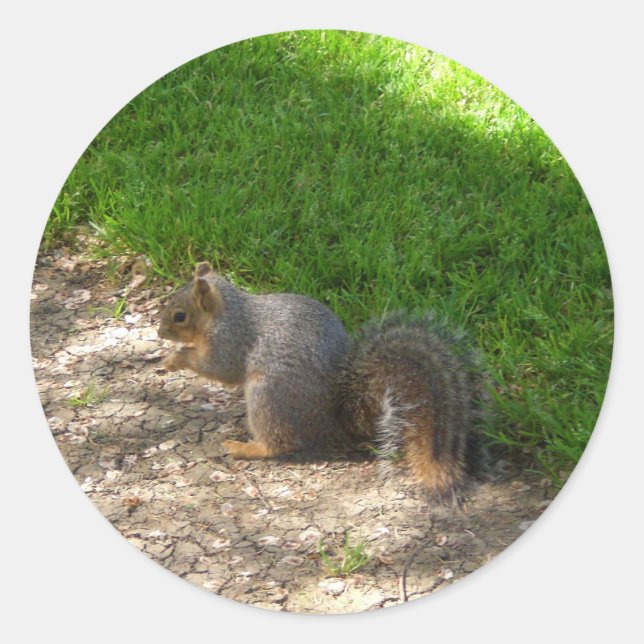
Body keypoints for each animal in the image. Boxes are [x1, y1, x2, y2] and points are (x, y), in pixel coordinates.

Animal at [158, 261, 489, 499]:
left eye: (179, 316)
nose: (160, 333)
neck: (227, 311)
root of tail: (335, 424)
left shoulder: (230, 339)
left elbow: (220, 368)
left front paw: (177, 358)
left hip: (267, 396)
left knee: (281, 443)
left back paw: (245, 448)